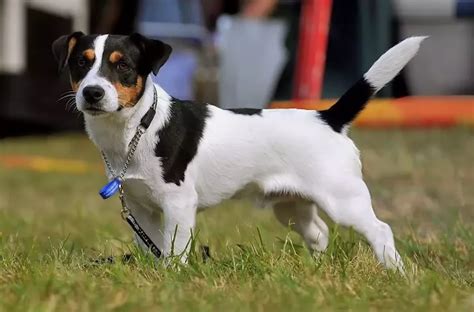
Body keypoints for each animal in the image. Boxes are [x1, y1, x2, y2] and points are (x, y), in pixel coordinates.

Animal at [51, 32, 426, 270]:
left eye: (123, 66)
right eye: (80, 64)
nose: (92, 93)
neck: (137, 128)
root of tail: (328, 117)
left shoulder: (178, 205)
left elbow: (174, 250)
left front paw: (173, 279)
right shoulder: (141, 209)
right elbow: (153, 248)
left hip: (344, 200)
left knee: (380, 230)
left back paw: (397, 274)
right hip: (292, 206)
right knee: (319, 234)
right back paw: (317, 271)